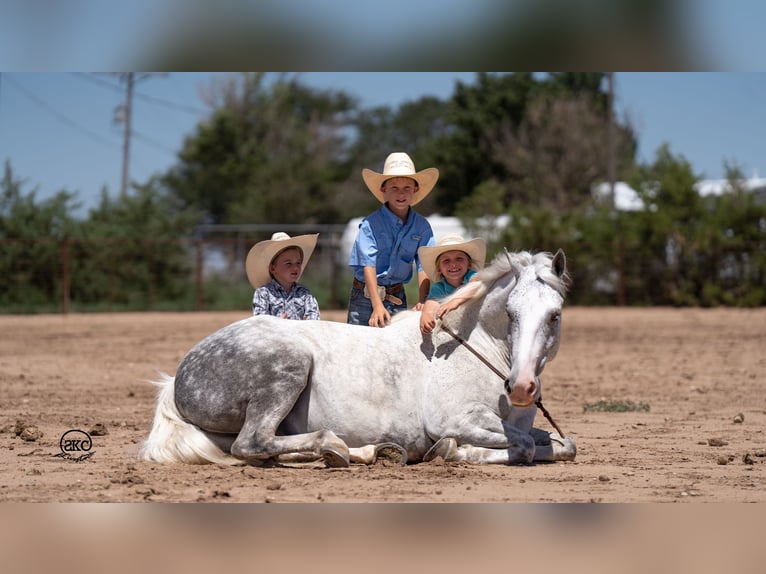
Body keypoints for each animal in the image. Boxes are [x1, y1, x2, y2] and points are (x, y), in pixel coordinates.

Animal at [141, 251, 580, 468]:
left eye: (554, 315)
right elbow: (524, 447)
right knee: (252, 443)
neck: (478, 351)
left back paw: (358, 453)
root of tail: (179, 376)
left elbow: (562, 443)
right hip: (288, 369)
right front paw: (453, 452)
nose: (521, 388)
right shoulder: (456, 420)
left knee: (262, 447)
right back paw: (332, 445)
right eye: (511, 313)